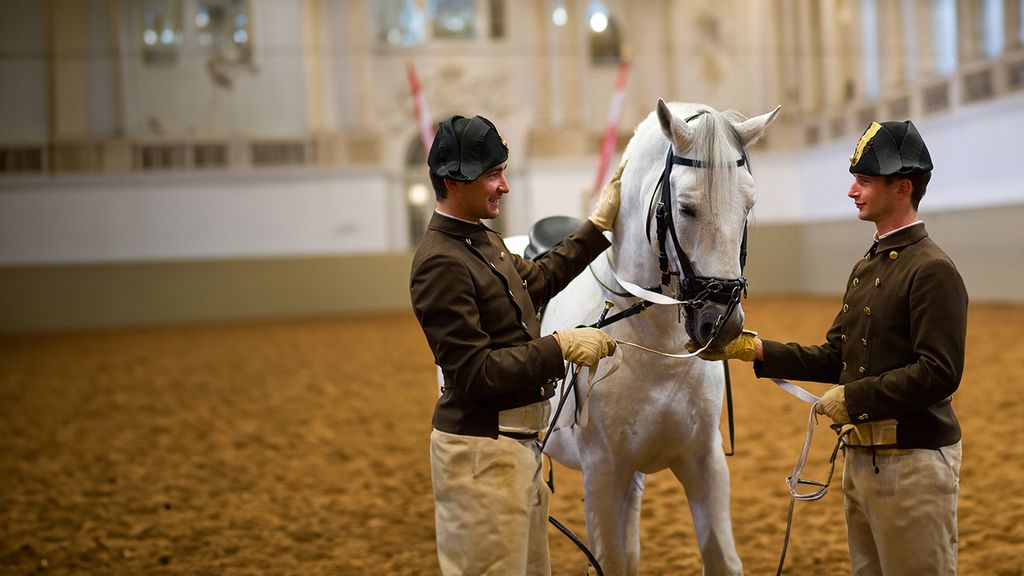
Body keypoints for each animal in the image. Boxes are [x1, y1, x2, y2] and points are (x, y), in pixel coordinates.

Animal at [544, 99, 774, 573]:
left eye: (748, 204)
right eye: (685, 208)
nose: (722, 325)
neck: (656, 349)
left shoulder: (704, 463)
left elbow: (721, 558)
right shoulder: (603, 474)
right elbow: (609, 560)